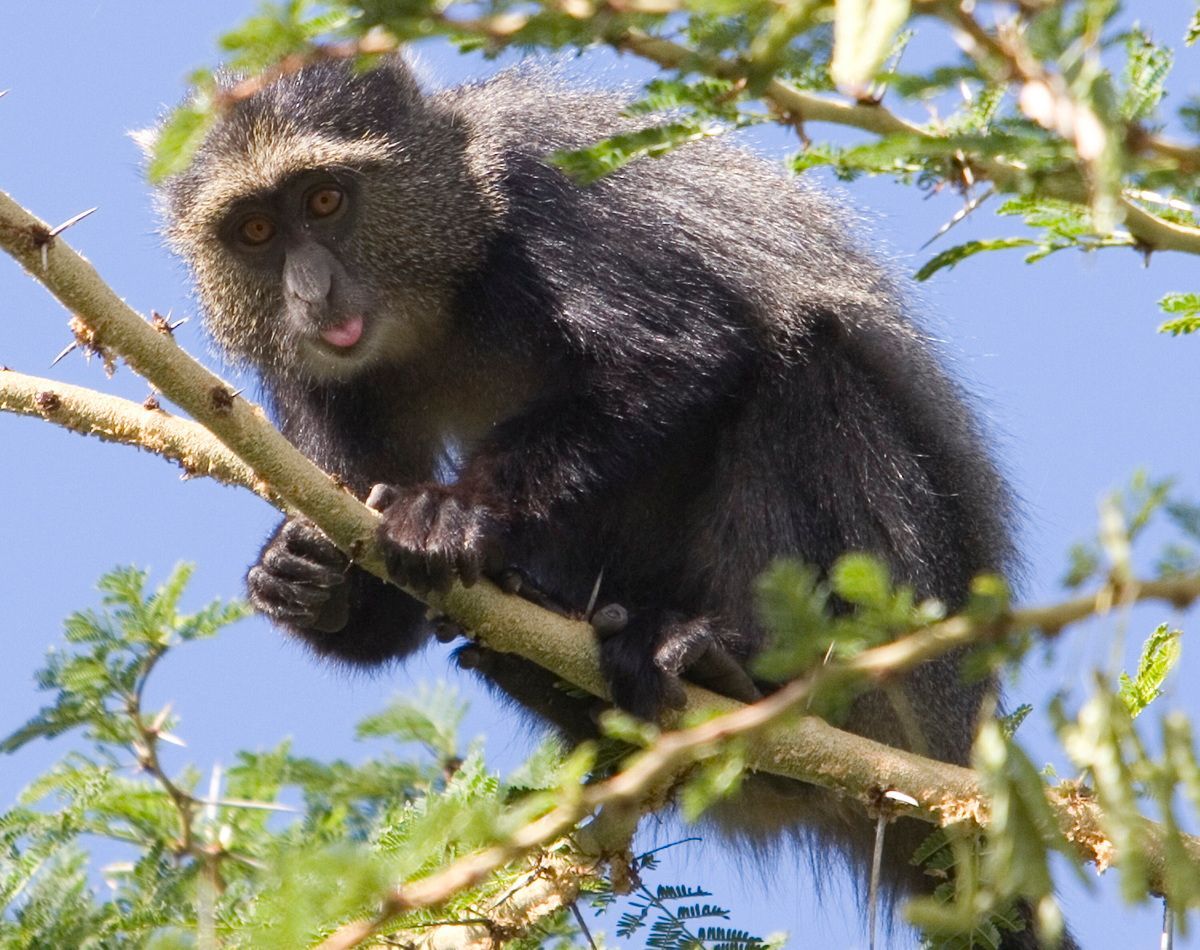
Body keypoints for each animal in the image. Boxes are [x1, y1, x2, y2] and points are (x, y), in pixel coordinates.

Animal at [161, 56, 1045, 945]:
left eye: (325, 201)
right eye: (254, 233)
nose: (311, 294)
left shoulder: (547, 194)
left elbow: (679, 351)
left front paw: (457, 510)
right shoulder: (306, 373)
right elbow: (383, 594)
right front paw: (302, 576)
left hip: (906, 632)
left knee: (802, 366)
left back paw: (737, 673)